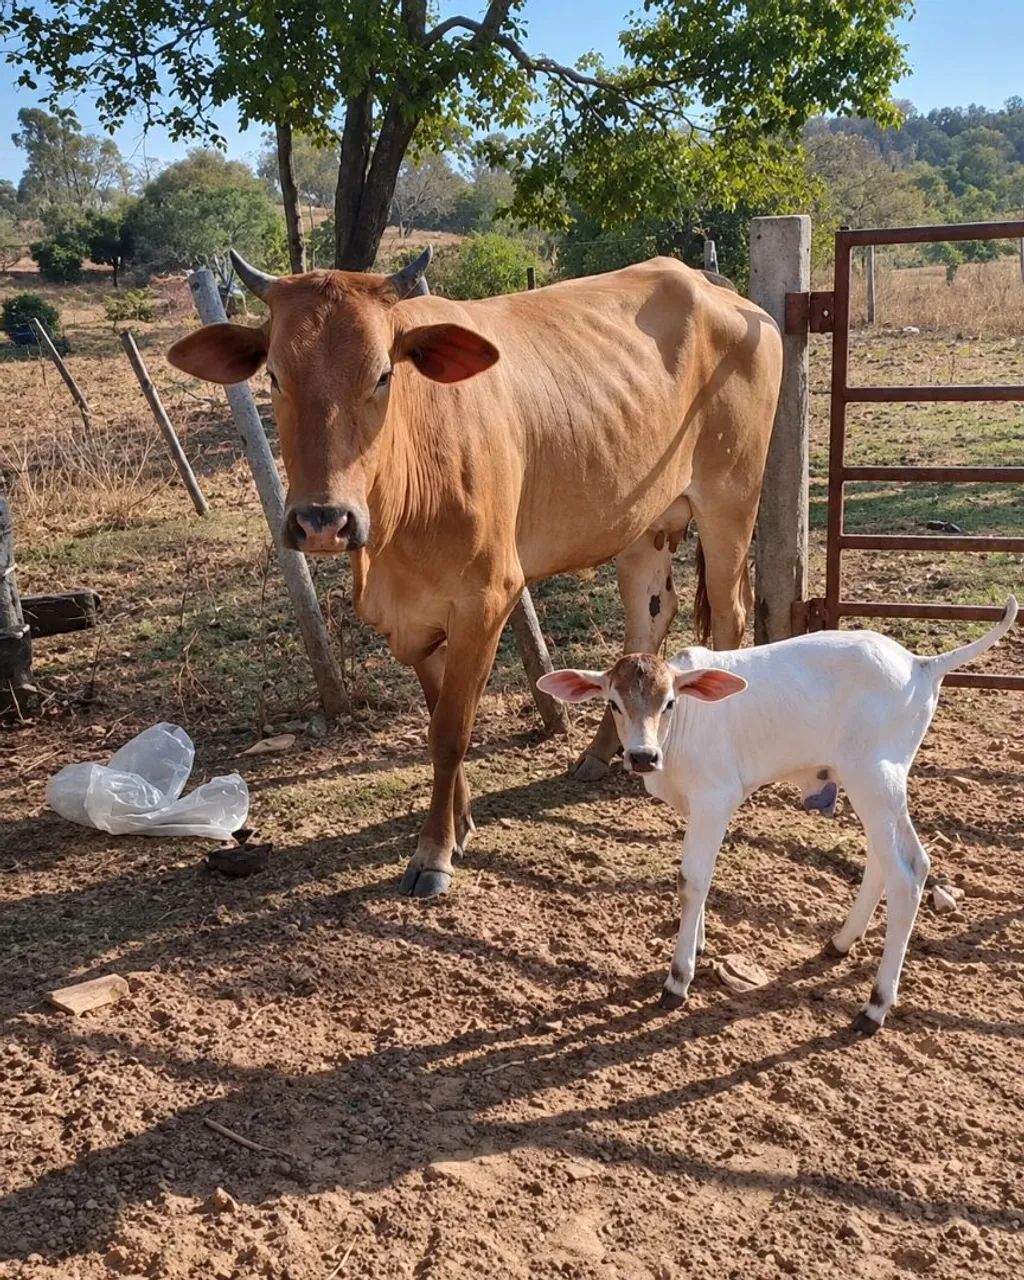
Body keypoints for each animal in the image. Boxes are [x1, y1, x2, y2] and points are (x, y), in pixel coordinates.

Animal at [167, 248, 783, 897]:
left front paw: (433, 852)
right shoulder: (409, 620)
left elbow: (451, 731)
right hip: (642, 520)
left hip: (730, 501)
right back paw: (599, 752)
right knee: (650, 618)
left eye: (383, 375)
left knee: (731, 616)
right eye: (275, 377)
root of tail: (710, 283)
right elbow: (439, 715)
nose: (322, 521)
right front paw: (459, 820)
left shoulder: (487, 599)